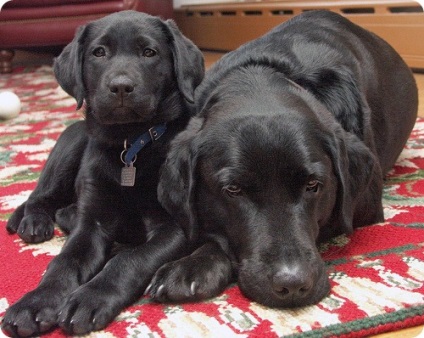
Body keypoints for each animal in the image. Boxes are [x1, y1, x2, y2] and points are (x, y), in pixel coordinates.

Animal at [1, 9, 204, 336]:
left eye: (149, 52)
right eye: (99, 52)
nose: (121, 86)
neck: (130, 146)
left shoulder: (175, 226)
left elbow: (131, 259)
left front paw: (90, 298)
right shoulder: (92, 221)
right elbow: (63, 262)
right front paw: (34, 302)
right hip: (72, 146)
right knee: (39, 197)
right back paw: (34, 222)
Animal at [148, 11, 418, 308]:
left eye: (313, 186)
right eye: (233, 190)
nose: (293, 285)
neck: (259, 75)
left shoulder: (364, 207)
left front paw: (194, 265)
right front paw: (193, 263)